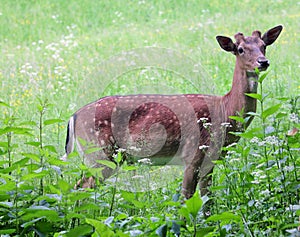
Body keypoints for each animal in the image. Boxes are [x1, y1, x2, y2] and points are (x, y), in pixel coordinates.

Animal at [62, 25, 282, 199]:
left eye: (264, 45)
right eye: (240, 49)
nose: (263, 61)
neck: (225, 110)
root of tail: (73, 117)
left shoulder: (210, 161)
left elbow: (207, 202)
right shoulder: (193, 154)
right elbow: (186, 200)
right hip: (100, 152)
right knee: (80, 188)